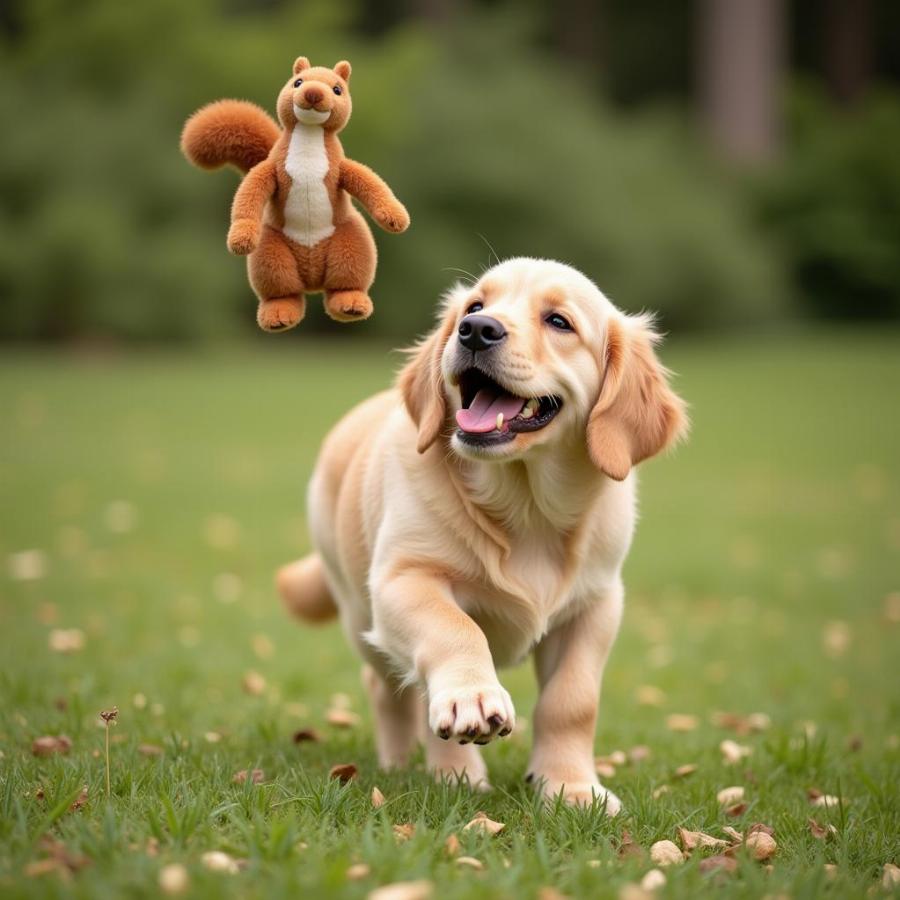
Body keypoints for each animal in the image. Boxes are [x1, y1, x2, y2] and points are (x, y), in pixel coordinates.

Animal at [278, 256, 684, 812]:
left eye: (559, 322)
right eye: (474, 305)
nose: (475, 330)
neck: (525, 504)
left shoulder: (596, 605)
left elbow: (572, 700)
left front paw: (573, 787)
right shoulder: (404, 578)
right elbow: (456, 629)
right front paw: (472, 696)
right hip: (359, 607)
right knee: (391, 686)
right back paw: (434, 770)